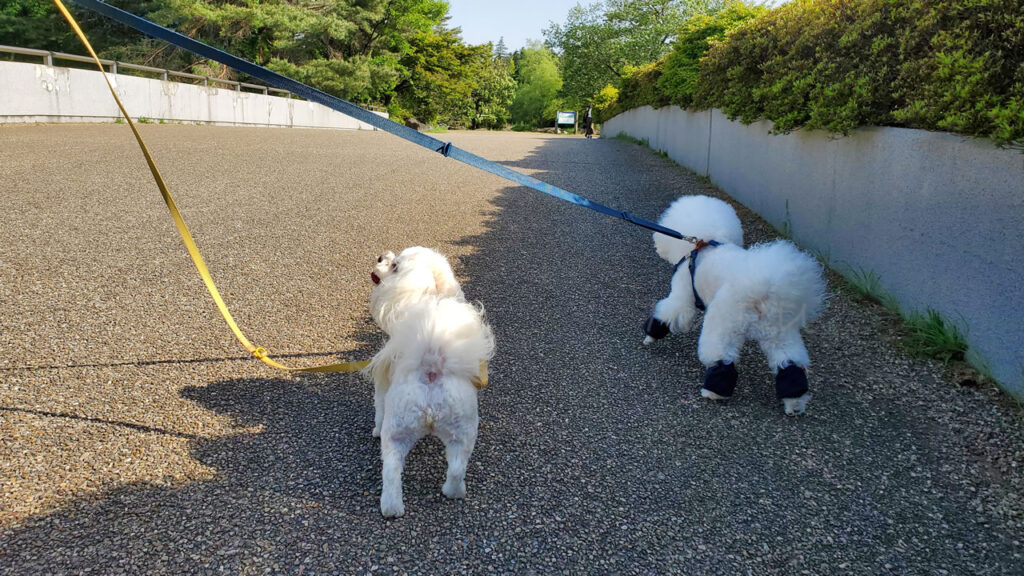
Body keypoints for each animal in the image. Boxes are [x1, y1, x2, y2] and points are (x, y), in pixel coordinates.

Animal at [368, 247, 495, 516]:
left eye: (394, 266)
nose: (380, 257)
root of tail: (432, 367)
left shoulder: (382, 387)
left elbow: (378, 408)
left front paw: (374, 430)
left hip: (395, 430)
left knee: (391, 472)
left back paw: (391, 508)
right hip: (463, 432)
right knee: (456, 468)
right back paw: (453, 492)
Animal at [638, 194, 823, 414]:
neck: (703, 244)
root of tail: (763, 290)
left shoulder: (683, 294)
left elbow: (668, 313)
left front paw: (650, 335)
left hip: (724, 323)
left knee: (721, 358)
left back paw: (714, 392)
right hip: (779, 333)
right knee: (790, 363)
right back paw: (794, 403)